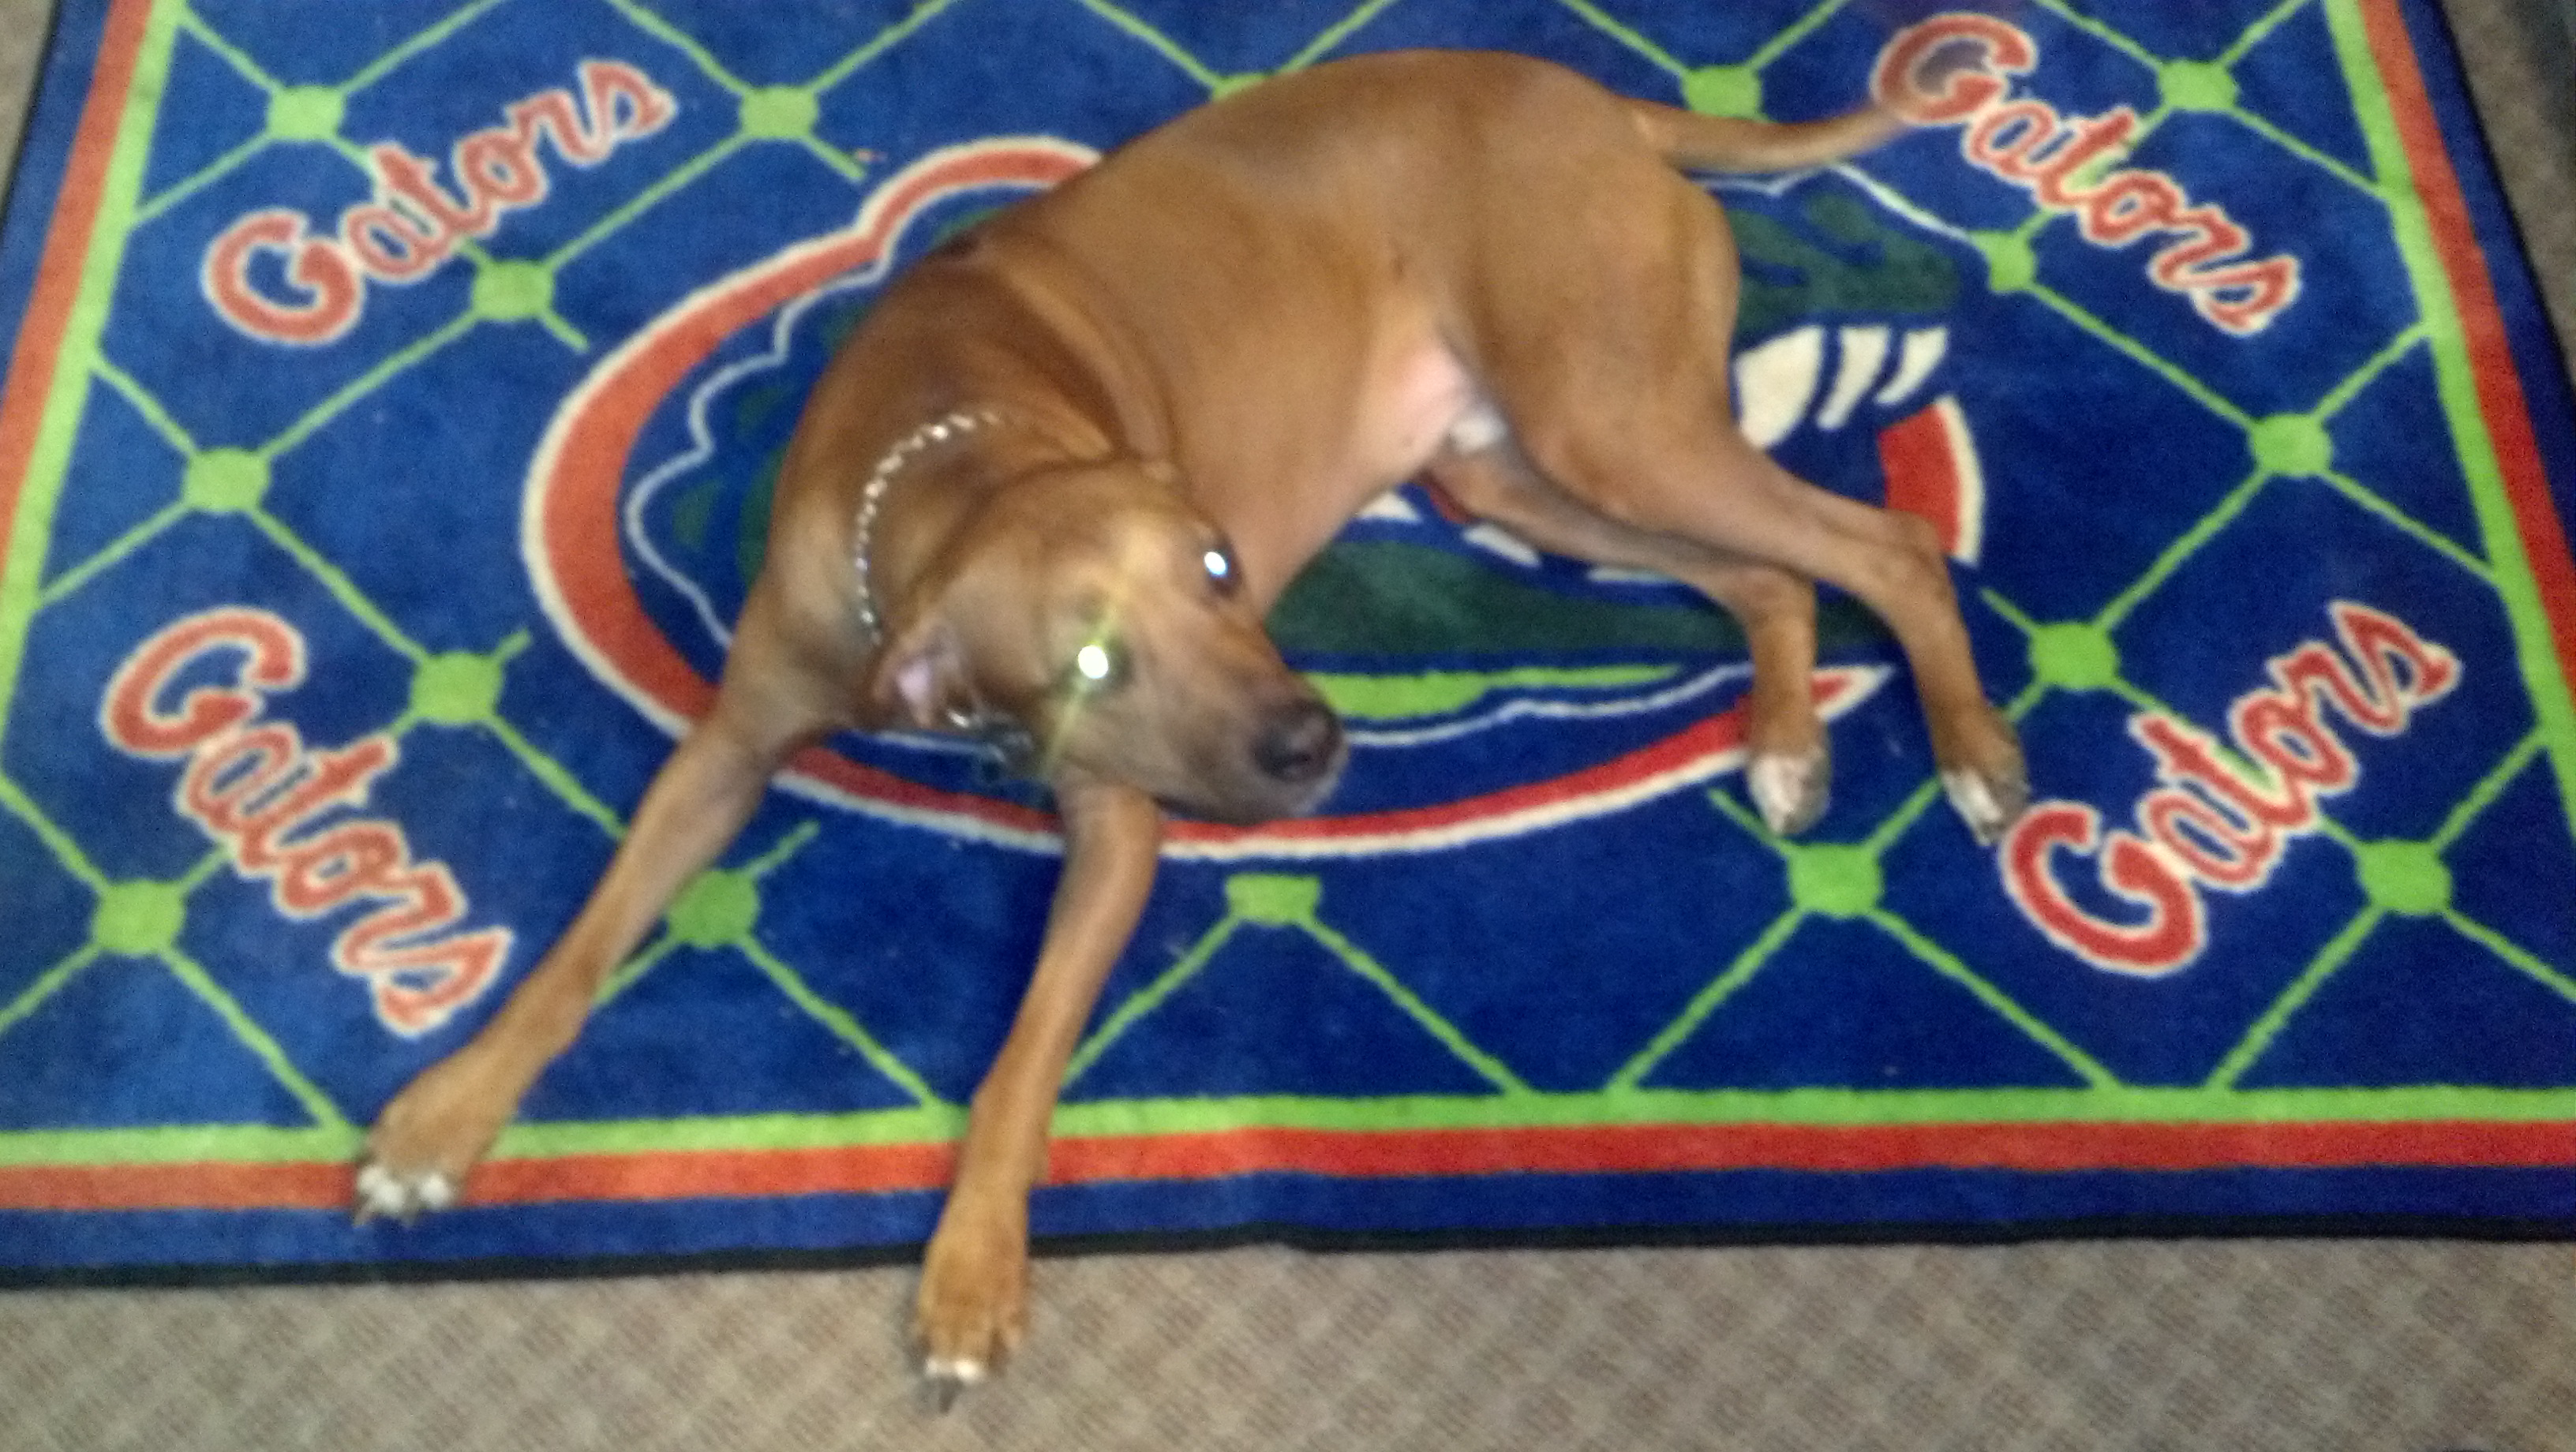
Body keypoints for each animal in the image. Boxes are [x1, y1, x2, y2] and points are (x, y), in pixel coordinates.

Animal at [355, 49, 2028, 1400]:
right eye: (1093, 660)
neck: (956, 461)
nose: (1312, 746)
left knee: (1884, 549)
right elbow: (583, 944)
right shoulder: (725, 747)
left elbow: (1020, 1058)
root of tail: (1580, 95)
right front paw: (445, 1116)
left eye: (1221, 568)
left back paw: (1966, 752)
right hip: (1516, 470)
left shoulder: (1116, 837)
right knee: (1774, 576)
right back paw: (1788, 739)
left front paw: (971, 1269)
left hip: (1604, 417)